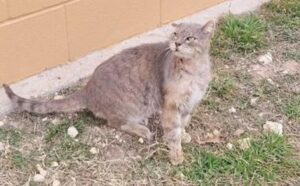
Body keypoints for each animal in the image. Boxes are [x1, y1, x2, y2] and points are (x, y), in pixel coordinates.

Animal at [3, 20, 214, 165]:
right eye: (175, 34)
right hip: (130, 106)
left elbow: (183, 124)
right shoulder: (171, 105)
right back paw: (142, 129)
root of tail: (88, 89)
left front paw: (184, 135)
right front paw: (177, 155)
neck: (194, 71)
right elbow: (173, 132)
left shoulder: (188, 105)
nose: (176, 44)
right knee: (115, 122)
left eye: (190, 38)